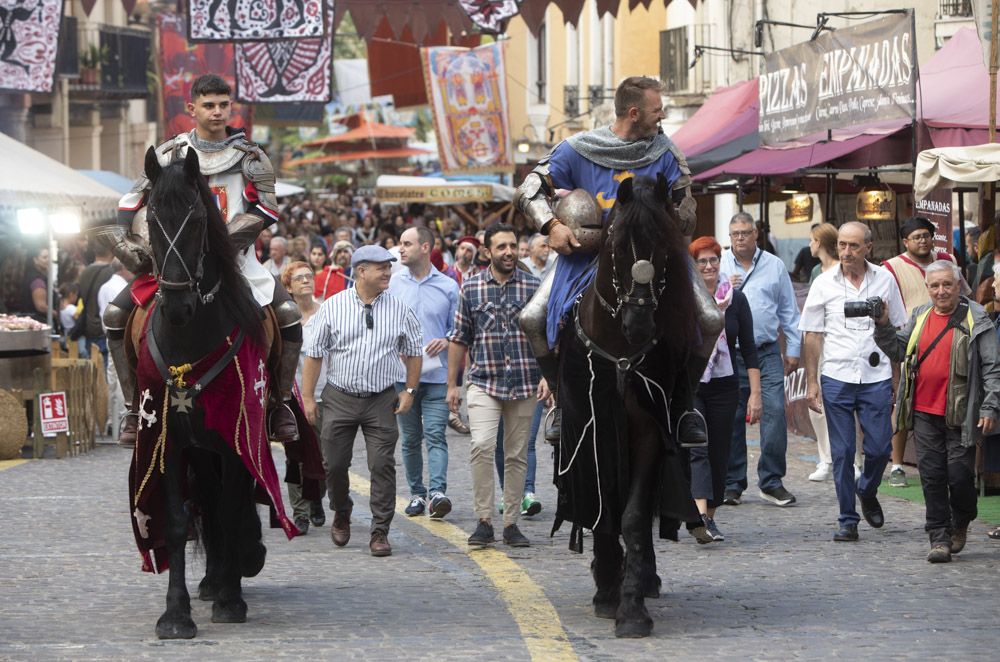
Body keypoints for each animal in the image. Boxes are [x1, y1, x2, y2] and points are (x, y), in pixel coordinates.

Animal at [129, 148, 280, 640]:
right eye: (152, 218)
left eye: (196, 219)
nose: (177, 305)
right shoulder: (169, 441)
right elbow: (178, 523)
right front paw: (176, 614)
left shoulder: (236, 437)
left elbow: (233, 508)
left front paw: (232, 600)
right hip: (199, 448)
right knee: (209, 503)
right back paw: (215, 578)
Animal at [556, 174, 696, 640]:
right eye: (616, 244)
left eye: (664, 246)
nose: (639, 323)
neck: (619, 352)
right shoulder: (590, 425)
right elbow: (602, 508)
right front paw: (607, 588)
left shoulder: (650, 430)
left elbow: (633, 515)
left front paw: (632, 607)